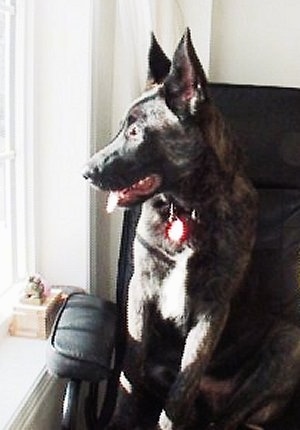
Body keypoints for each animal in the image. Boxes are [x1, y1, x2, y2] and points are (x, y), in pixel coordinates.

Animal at [83, 28, 300, 428]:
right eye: (122, 128)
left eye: (135, 131)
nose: (85, 172)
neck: (188, 208)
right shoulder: (141, 290)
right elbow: (129, 371)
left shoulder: (212, 309)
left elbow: (182, 388)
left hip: (289, 343)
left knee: (227, 417)